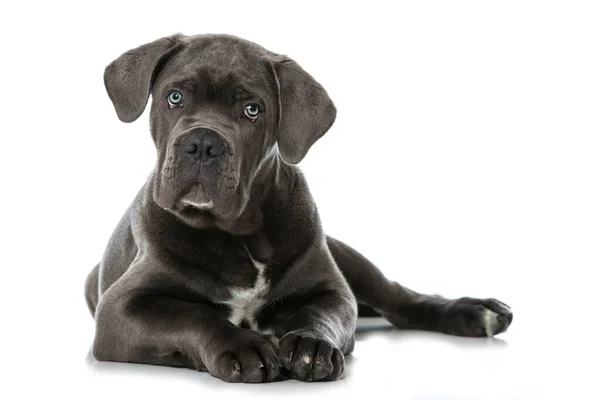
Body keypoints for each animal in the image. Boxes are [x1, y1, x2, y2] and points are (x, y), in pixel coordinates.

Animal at [86, 34, 512, 384]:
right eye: (174, 97)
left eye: (252, 110)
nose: (203, 143)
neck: (238, 234)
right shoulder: (119, 310)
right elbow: (191, 314)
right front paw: (242, 345)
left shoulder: (333, 290)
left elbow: (319, 313)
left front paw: (311, 344)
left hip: (345, 256)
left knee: (398, 299)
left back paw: (475, 311)